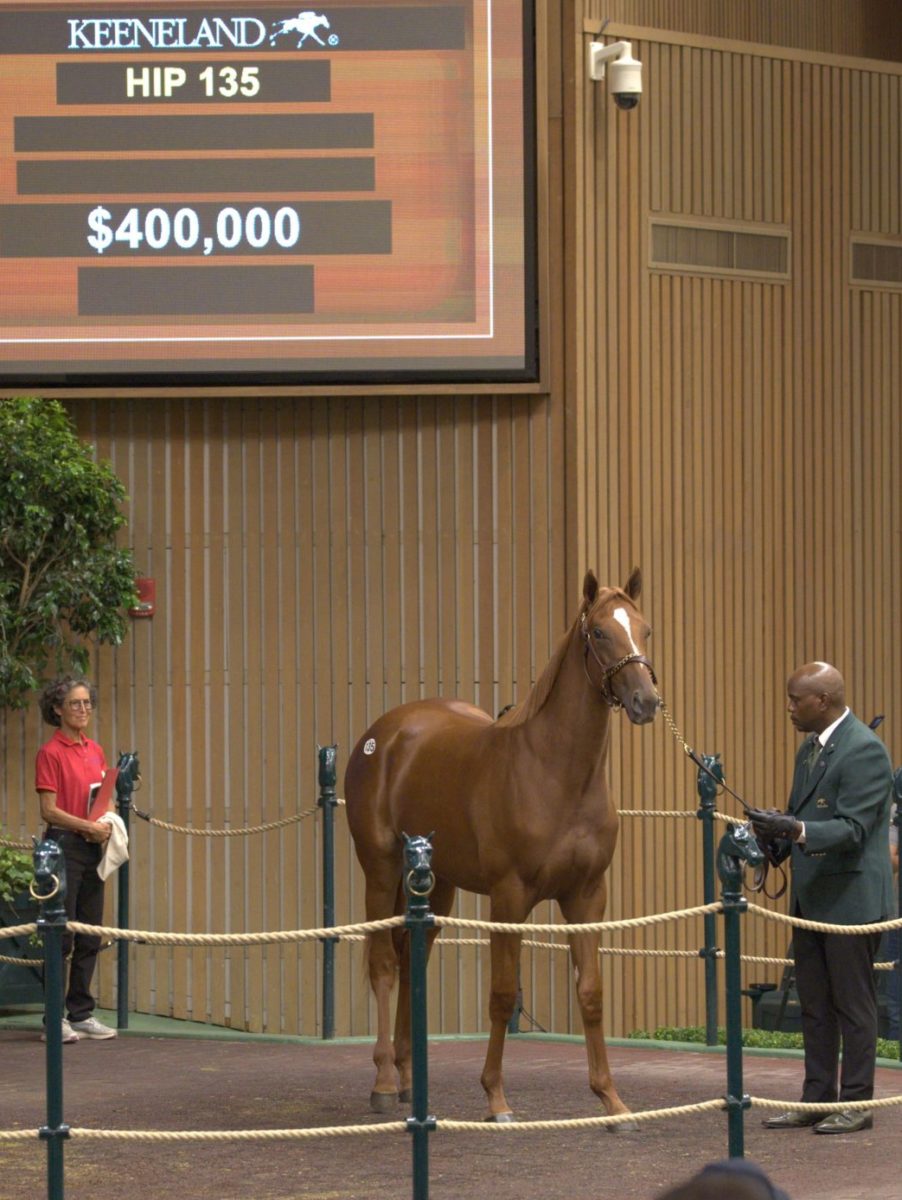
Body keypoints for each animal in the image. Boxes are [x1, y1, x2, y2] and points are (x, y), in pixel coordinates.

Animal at [340, 566, 657, 1118]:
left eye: (645, 629)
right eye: (599, 632)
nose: (646, 702)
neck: (555, 774)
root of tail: (382, 736)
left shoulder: (588, 896)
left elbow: (591, 992)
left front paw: (612, 1101)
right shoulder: (510, 897)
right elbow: (503, 994)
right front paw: (496, 1097)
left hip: (436, 884)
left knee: (412, 960)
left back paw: (407, 1079)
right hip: (379, 869)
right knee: (383, 962)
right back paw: (383, 1081)